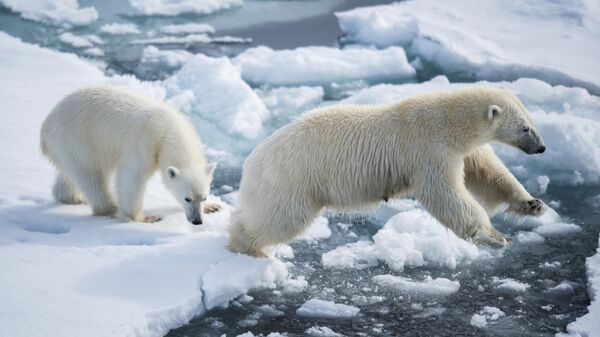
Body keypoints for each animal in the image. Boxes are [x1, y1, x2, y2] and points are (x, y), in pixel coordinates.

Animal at [42, 85, 220, 224]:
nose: (197, 221)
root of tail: (46, 125)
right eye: (187, 198)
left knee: (70, 174)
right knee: (91, 174)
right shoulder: (144, 143)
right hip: (79, 138)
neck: (168, 129)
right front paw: (144, 218)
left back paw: (72, 197)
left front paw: (213, 207)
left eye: (203, 197)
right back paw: (110, 208)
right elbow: (132, 176)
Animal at [231, 87, 548, 258]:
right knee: (282, 217)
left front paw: (532, 204)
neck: (450, 122)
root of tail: (251, 161)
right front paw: (495, 236)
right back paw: (248, 246)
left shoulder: (463, 150)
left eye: (532, 122)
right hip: (292, 179)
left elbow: (489, 175)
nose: (542, 147)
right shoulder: (429, 149)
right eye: (525, 128)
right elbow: (446, 194)